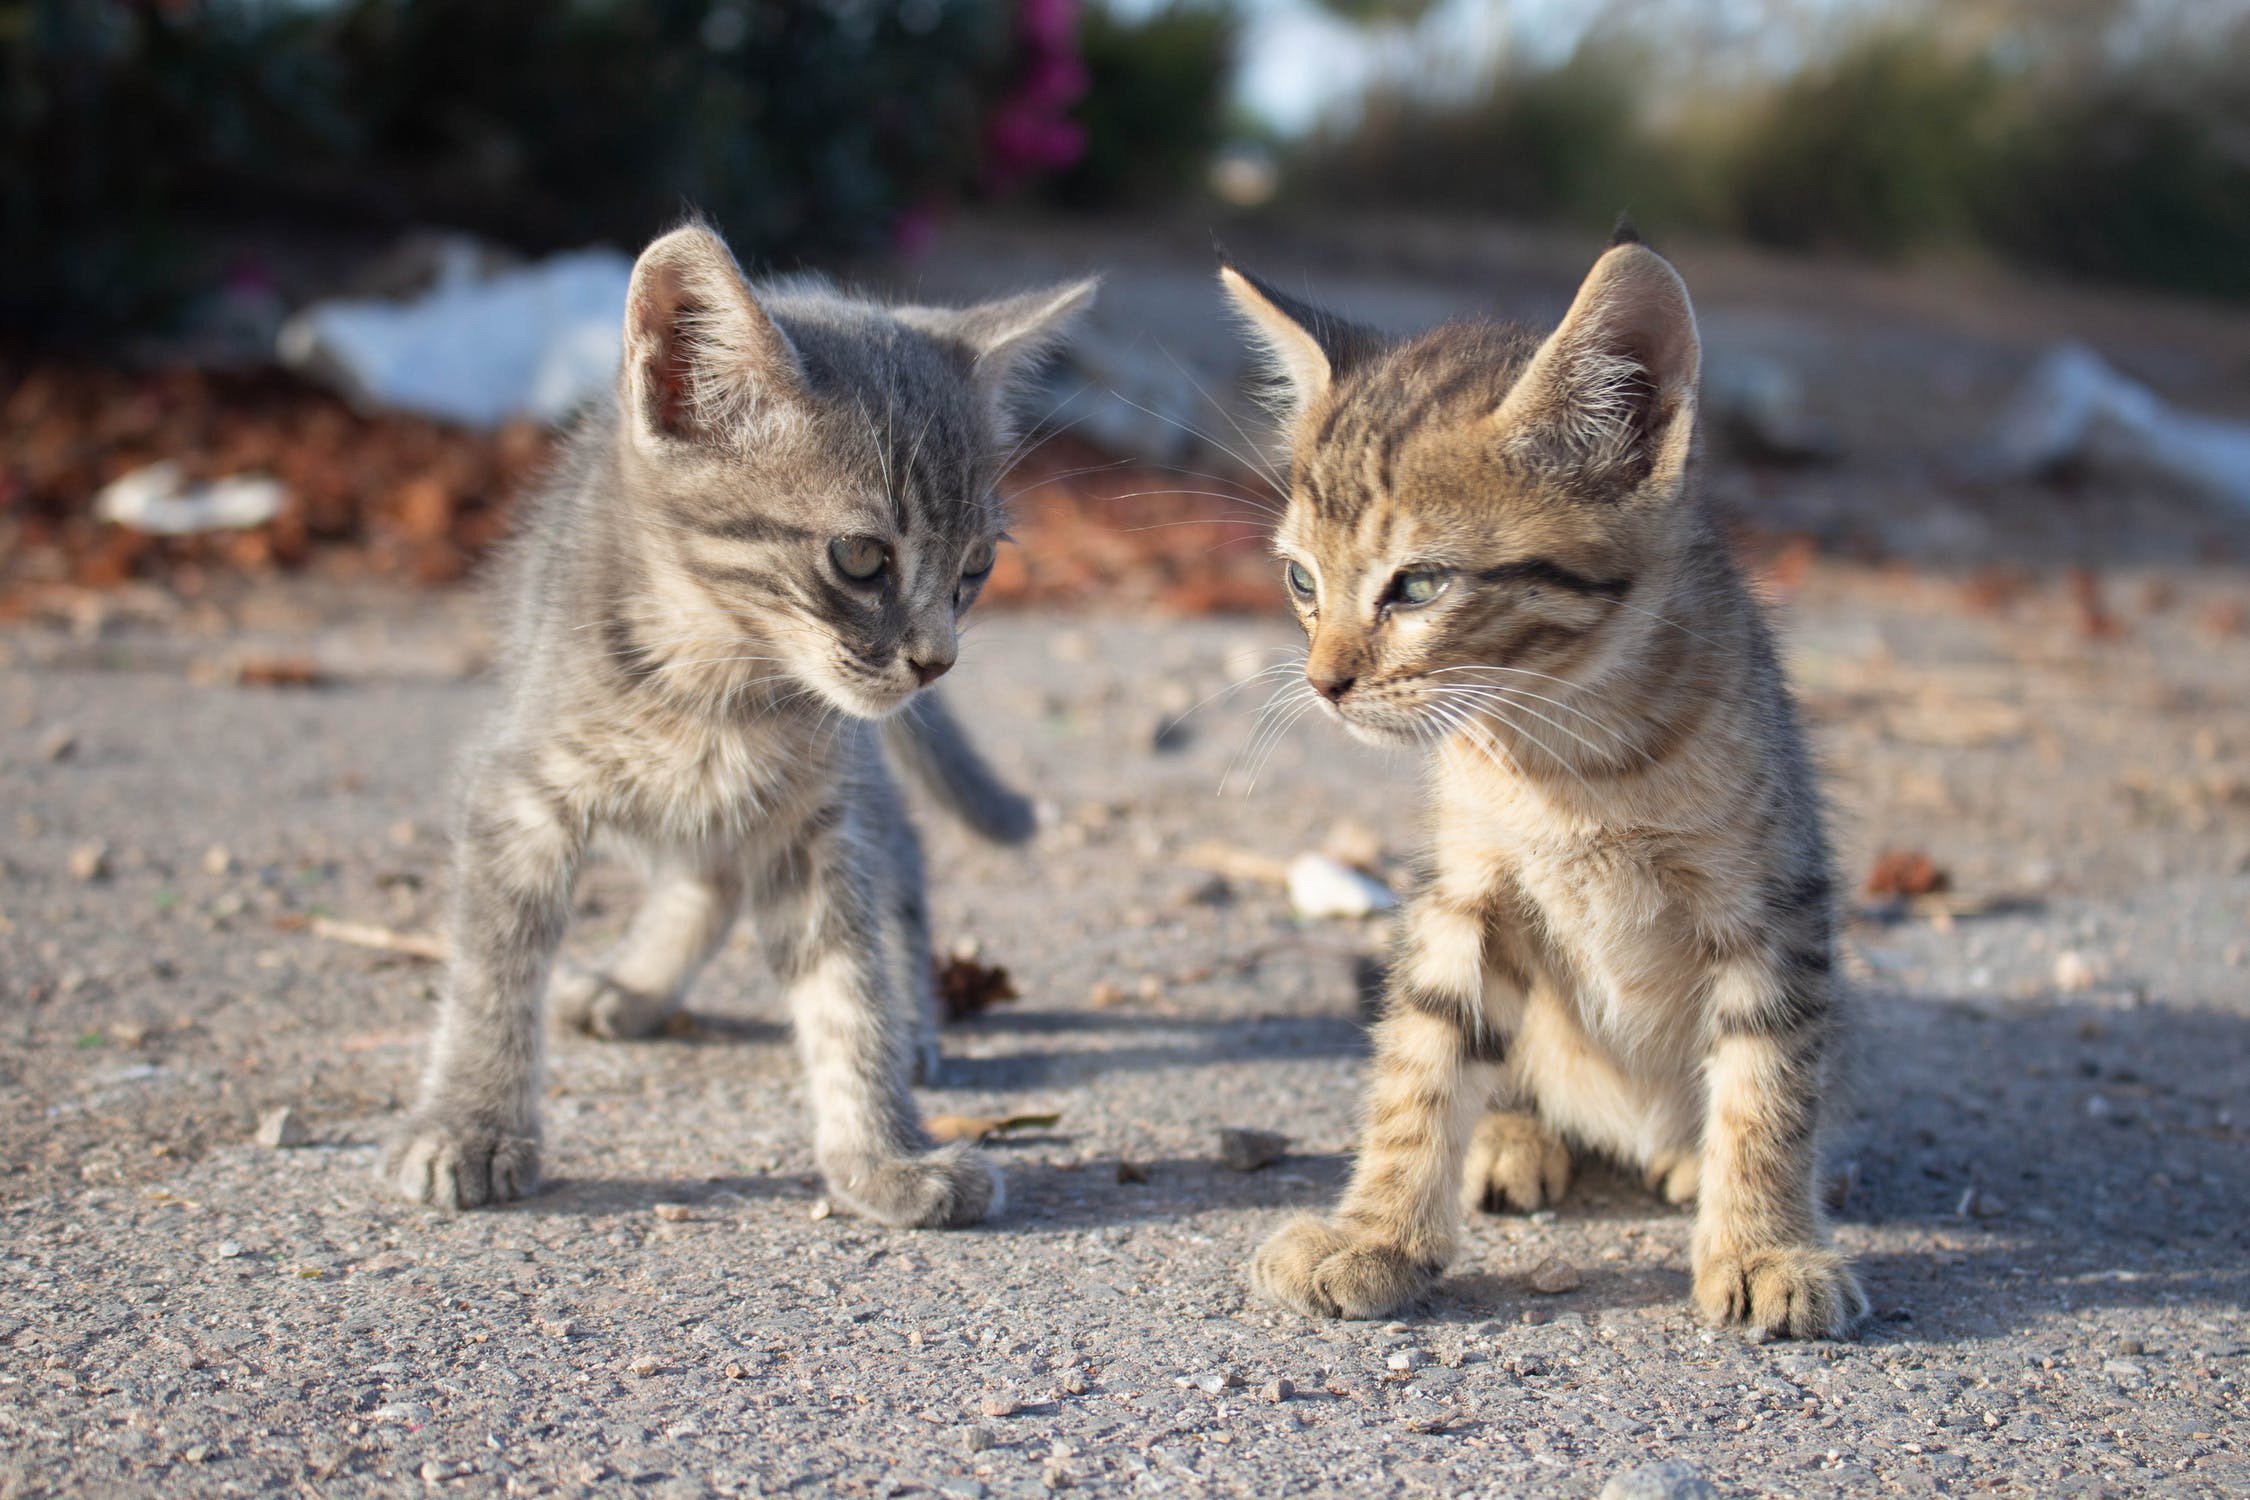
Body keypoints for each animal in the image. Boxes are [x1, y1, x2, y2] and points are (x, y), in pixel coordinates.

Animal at [380, 226, 1098, 1232]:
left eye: (976, 567)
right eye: (861, 557)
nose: (938, 661)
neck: (718, 680)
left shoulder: (819, 815)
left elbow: (847, 987)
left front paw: (883, 1151)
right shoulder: (518, 787)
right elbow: (492, 970)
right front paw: (469, 1125)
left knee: (892, 854)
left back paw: (911, 1018)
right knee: (713, 867)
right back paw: (638, 987)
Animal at [1224, 231, 1872, 1340]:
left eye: (1420, 586)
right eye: (1303, 582)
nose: (1323, 682)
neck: (1572, 758)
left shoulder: (1775, 901)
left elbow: (1769, 1082)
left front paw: (1767, 1246)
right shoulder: (1465, 891)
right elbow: (1423, 1055)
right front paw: (1378, 1233)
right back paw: (1514, 1135)